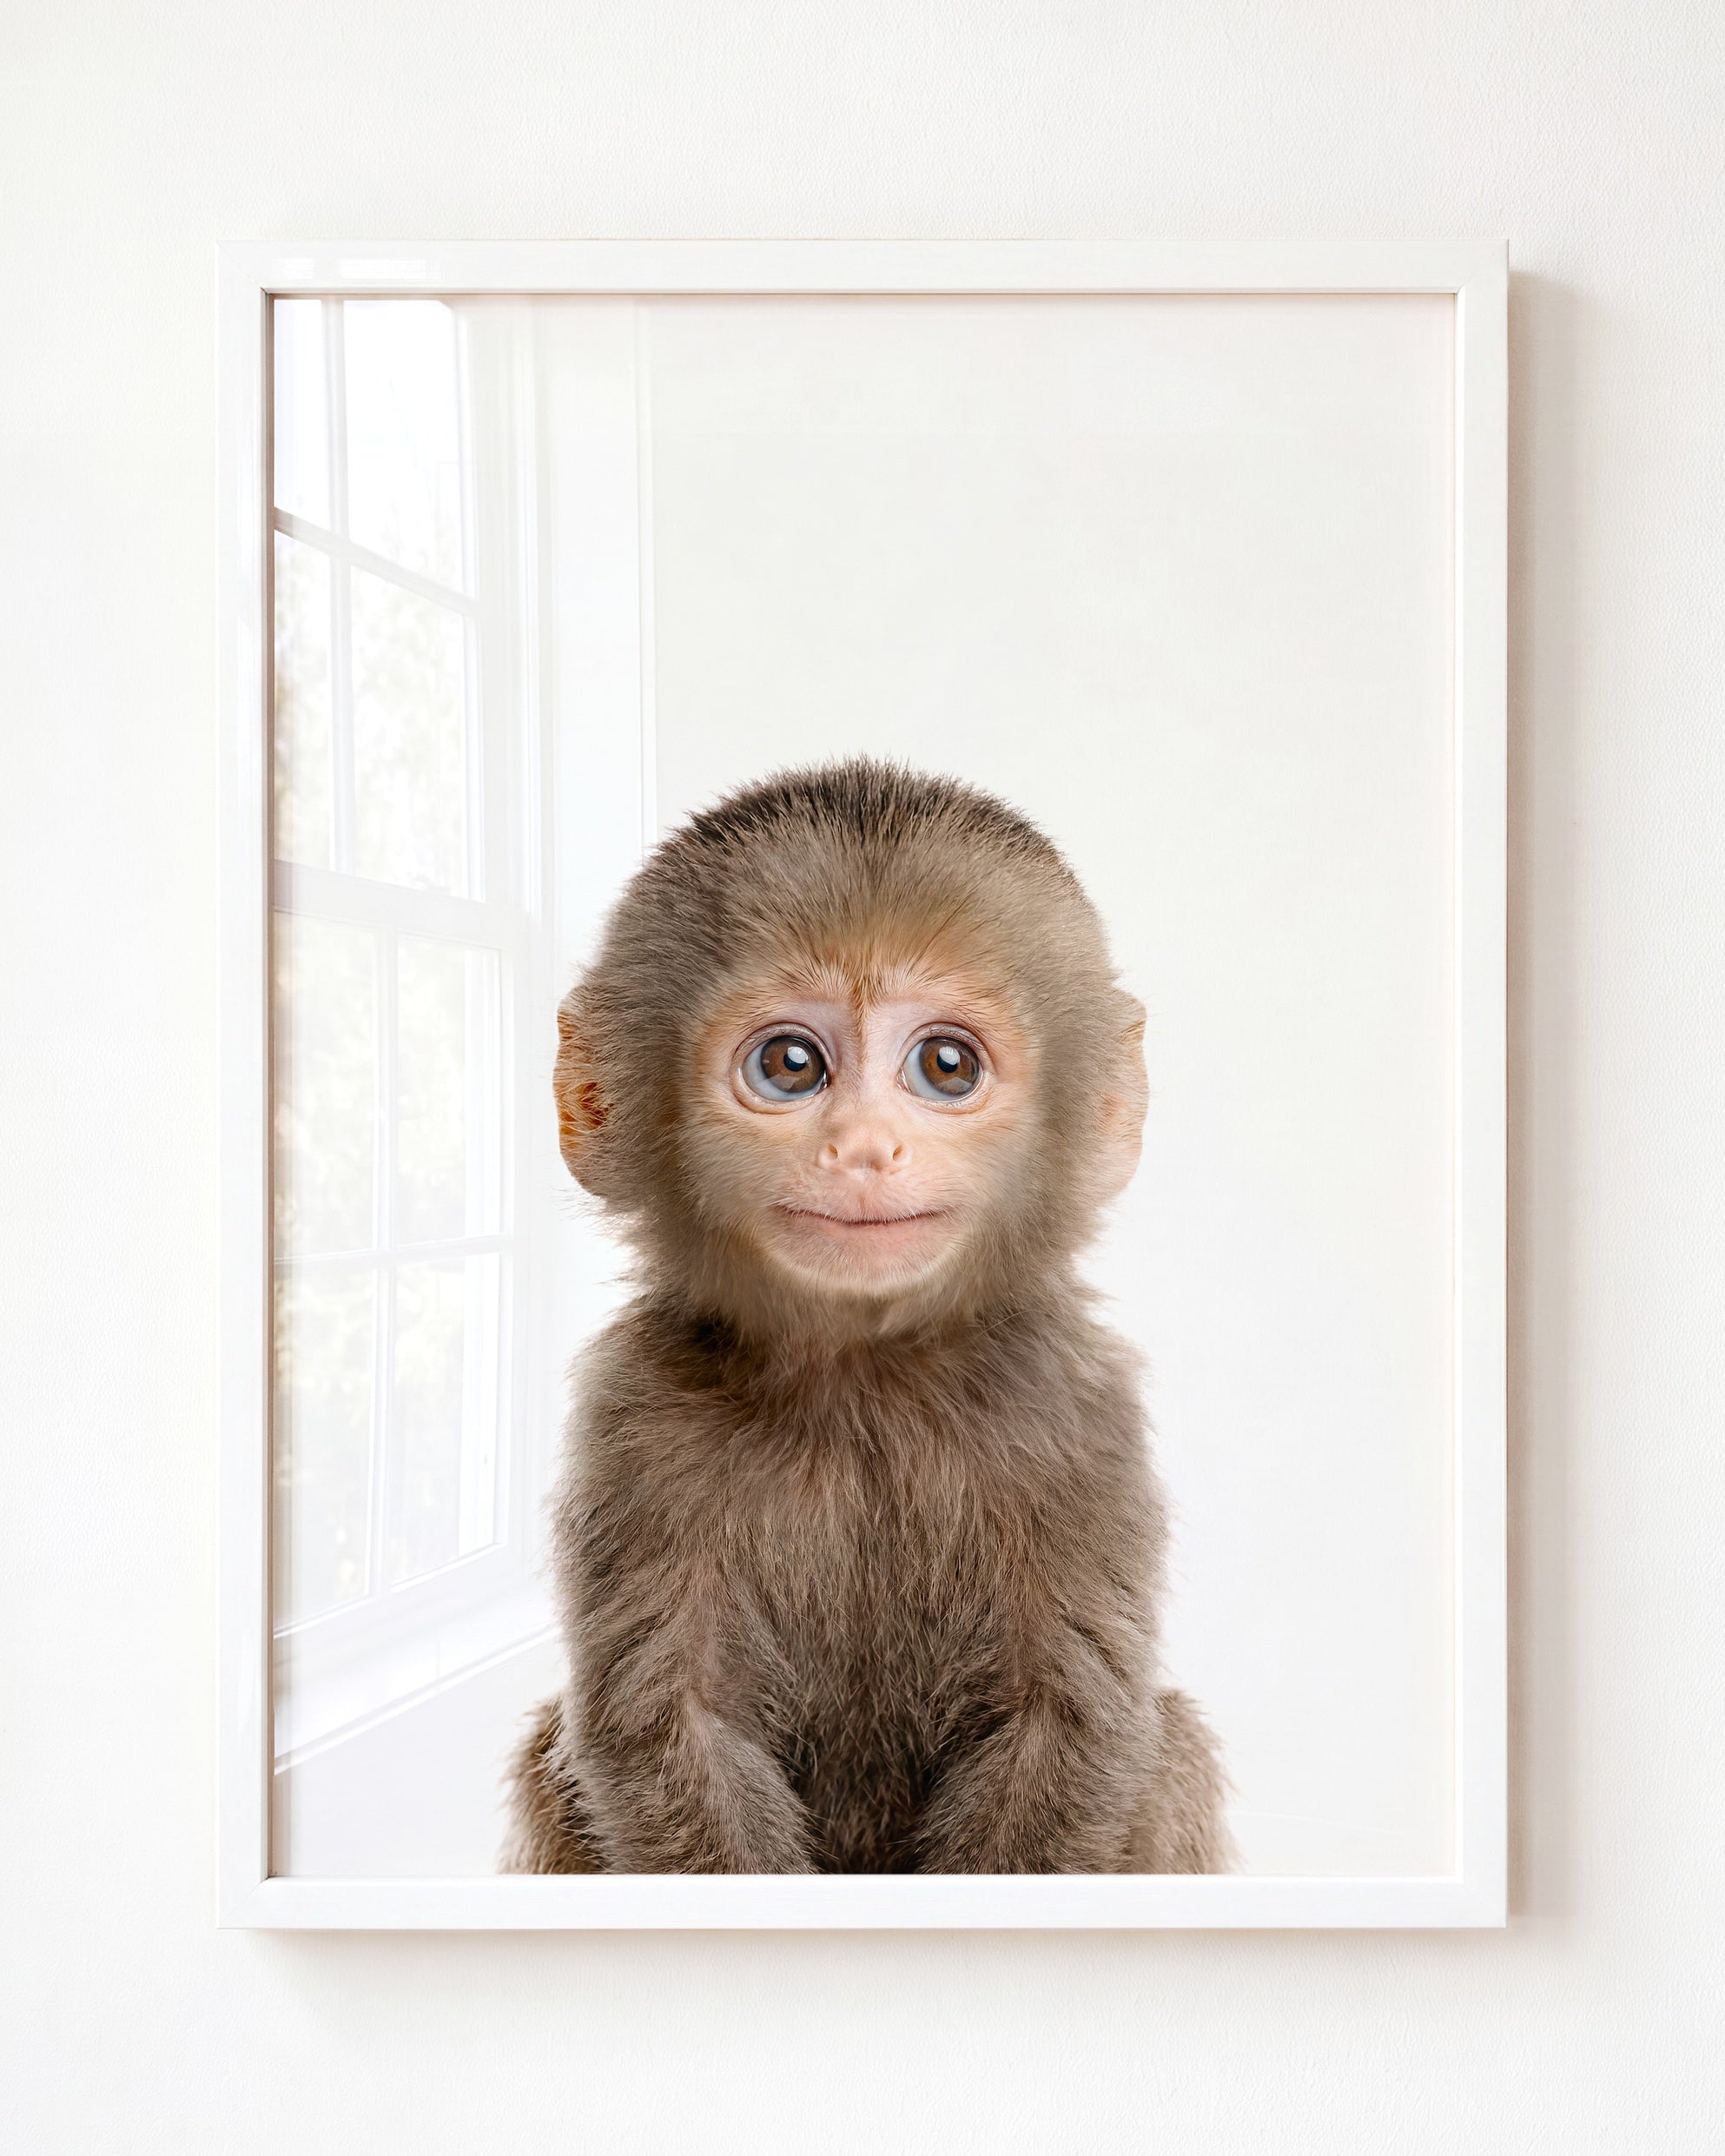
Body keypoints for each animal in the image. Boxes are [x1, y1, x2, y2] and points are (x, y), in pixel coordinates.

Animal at [501, 759, 1231, 1875]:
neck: (864, 1379)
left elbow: (1066, 1724)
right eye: (791, 1065)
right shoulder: (635, 1416)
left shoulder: (1078, 1411)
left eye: (945, 1067)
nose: (863, 1147)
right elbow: (672, 1728)